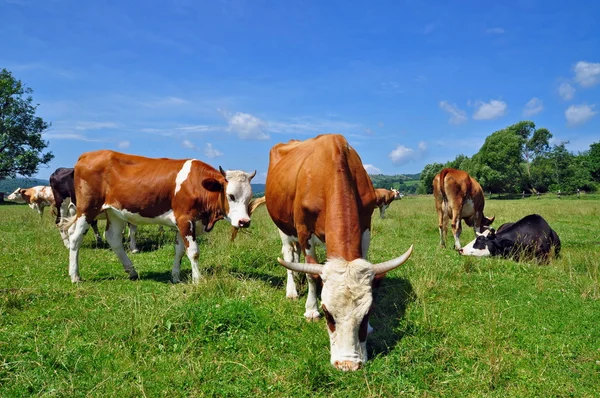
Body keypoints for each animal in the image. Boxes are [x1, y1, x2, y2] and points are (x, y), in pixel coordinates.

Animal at [63, 149, 255, 282]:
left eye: (249, 198)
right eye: (231, 196)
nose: (244, 221)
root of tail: (87, 155)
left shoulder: (184, 223)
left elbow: (179, 250)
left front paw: (176, 276)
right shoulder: (185, 219)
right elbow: (193, 252)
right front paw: (198, 280)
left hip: (115, 212)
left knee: (113, 238)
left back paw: (132, 271)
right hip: (87, 208)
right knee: (75, 237)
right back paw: (75, 276)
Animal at [262, 135, 412, 372]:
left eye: (368, 313)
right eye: (327, 313)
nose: (348, 364)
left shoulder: (366, 226)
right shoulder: (304, 231)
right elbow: (312, 275)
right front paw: (310, 309)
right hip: (283, 227)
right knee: (288, 256)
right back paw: (292, 290)